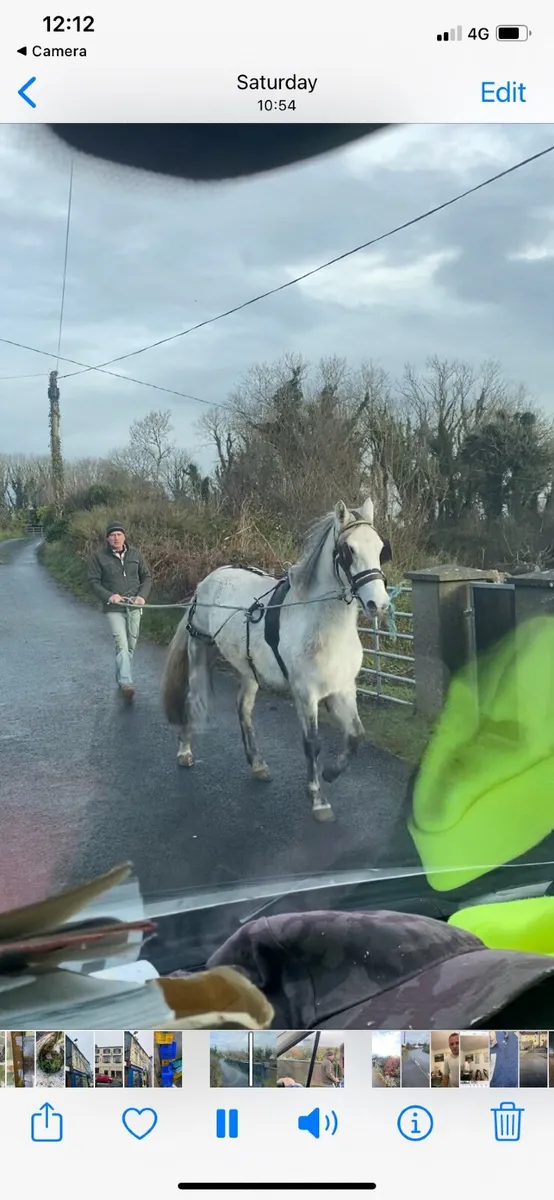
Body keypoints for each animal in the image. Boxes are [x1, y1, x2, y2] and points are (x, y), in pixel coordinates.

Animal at [161, 496, 392, 821]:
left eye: (381, 548)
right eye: (348, 550)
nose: (379, 604)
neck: (319, 624)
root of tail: (208, 581)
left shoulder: (343, 690)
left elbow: (356, 736)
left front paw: (330, 773)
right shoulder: (305, 694)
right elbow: (312, 743)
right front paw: (318, 798)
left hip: (248, 670)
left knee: (243, 709)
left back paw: (257, 764)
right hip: (200, 652)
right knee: (192, 699)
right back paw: (184, 752)